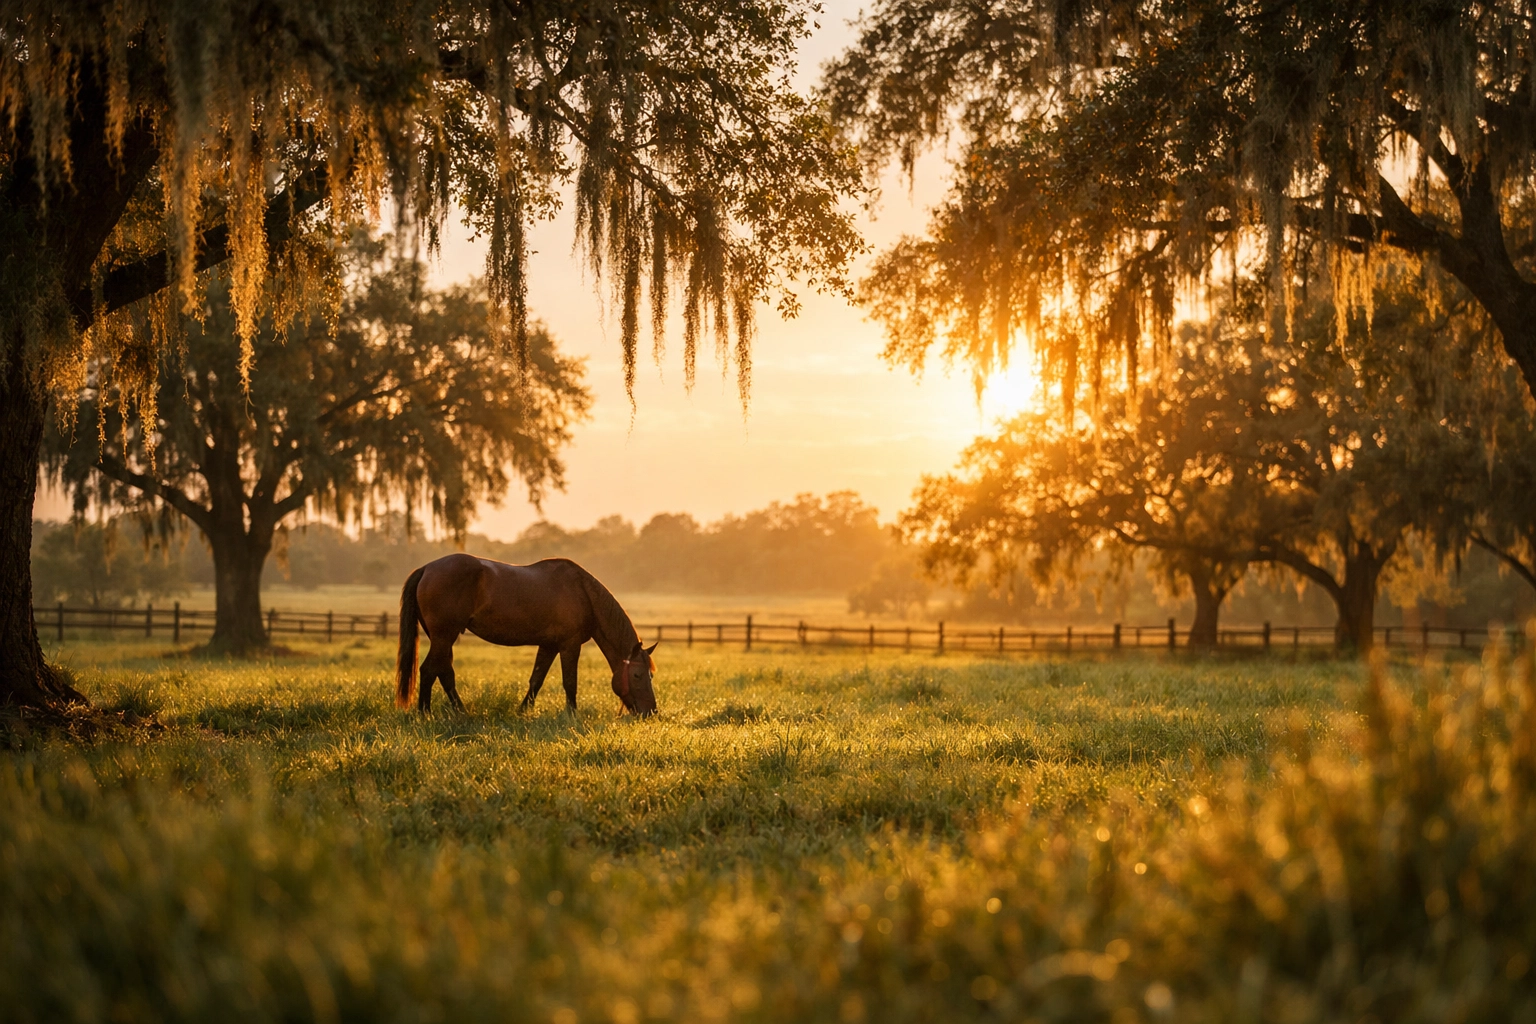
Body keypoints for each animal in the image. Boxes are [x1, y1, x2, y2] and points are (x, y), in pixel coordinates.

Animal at [395, 554, 658, 715]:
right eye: (637, 675)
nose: (651, 712)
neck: (583, 592)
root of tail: (426, 568)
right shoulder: (569, 645)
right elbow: (570, 682)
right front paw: (571, 714)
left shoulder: (549, 646)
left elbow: (536, 680)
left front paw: (523, 711)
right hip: (443, 637)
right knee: (430, 671)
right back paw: (426, 714)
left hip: (442, 639)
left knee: (443, 672)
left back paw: (459, 711)